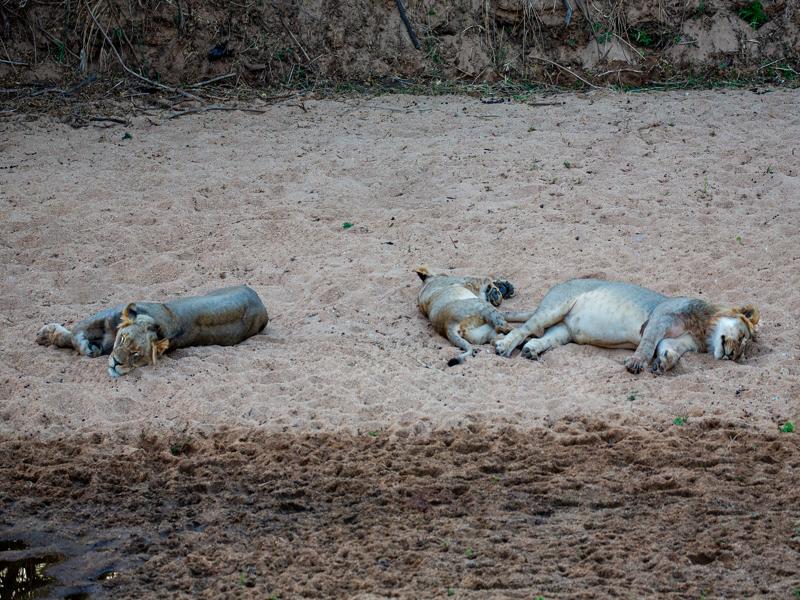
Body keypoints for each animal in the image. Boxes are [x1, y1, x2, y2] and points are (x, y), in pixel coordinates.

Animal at [36, 285, 269, 378]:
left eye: (136, 354)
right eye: (123, 338)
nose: (116, 363)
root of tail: (260, 301)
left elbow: (74, 337)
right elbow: (76, 333)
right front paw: (47, 334)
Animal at [494, 278, 759, 374]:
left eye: (742, 353)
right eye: (742, 337)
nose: (733, 355)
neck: (702, 332)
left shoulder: (678, 341)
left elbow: (669, 350)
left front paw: (664, 363)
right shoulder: (660, 318)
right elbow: (648, 344)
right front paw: (636, 363)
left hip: (564, 330)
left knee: (543, 338)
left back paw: (532, 350)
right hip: (555, 307)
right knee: (523, 329)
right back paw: (504, 346)